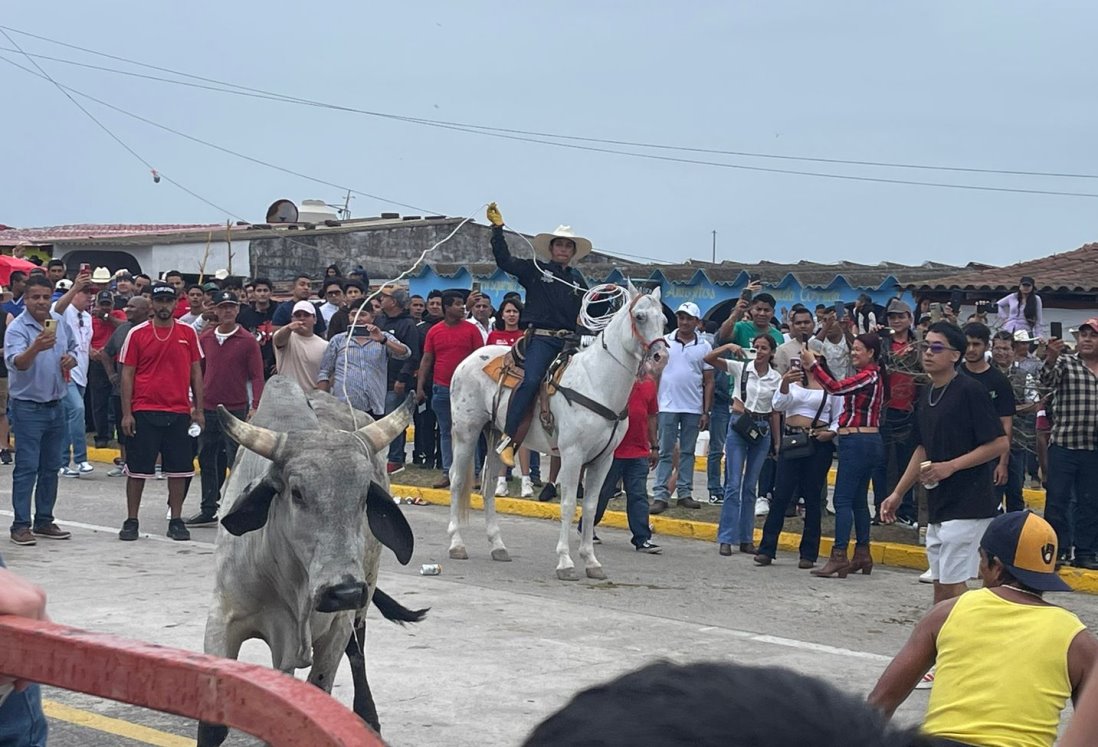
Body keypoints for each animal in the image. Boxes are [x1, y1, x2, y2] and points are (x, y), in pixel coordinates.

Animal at [195, 380, 421, 747]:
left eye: (363, 496)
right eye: (297, 493)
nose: (343, 591)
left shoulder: (337, 629)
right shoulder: (222, 622)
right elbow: (213, 724)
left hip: (365, 592)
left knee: (358, 651)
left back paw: (368, 717)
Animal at [441, 283, 663, 580]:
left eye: (663, 320)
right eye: (639, 317)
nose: (661, 357)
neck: (597, 382)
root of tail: (468, 360)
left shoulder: (603, 460)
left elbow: (590, 507)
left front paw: (591, 561)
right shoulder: (572, 455)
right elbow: (568, 505)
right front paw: (565, 562)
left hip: (496, 435)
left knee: (488, 487)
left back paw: (498, 546)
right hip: (466, 432)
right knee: (456, 481)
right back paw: (457, 544)